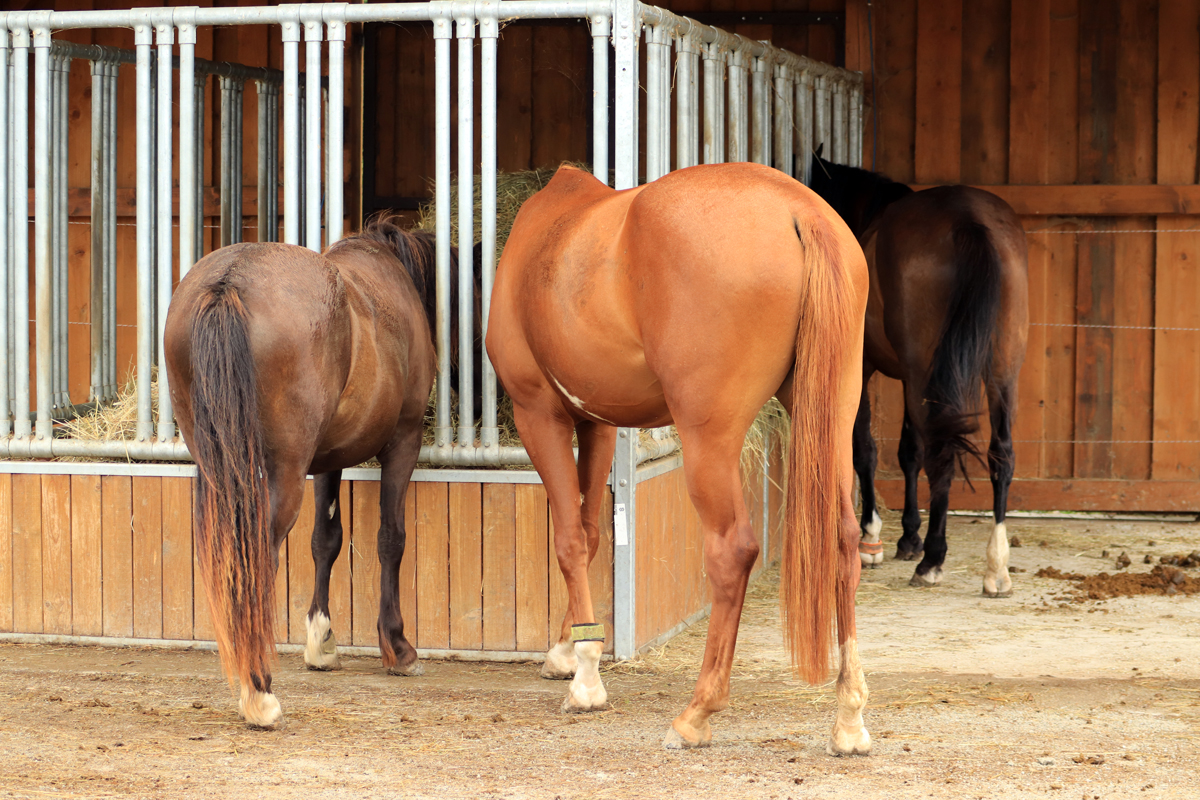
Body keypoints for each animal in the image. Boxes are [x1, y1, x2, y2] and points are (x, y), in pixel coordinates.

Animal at [164, 217, 453, 724]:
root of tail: (228, 283)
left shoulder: (328, 460)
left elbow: (326, 540)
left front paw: (321, 642)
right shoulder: (403, 441)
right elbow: (391, 539)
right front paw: (398, 647)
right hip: (283, 472)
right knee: (258, 554)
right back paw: (259, 689)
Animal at [487, 163, 873, 753]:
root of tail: (799, 210)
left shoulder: (539, 415)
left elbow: (569, 539)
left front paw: (586, 681)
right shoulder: (597, 423)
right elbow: (591, 531)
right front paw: (570, 648)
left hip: (708, 441)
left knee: (732, 552)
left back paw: (696, 712)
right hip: (830, 417)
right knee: (845, 539)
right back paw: (848, 716)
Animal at [816, 154, 1032, 594]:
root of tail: (969, 220)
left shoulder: (865, 368)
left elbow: (866, 448)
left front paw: (873, 539)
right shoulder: (910, 376)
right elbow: (908, 450)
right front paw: (908, 536)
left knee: (942, 456)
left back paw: (932, 559)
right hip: (1001, 373)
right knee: (1001, 454)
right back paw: (996, 566)